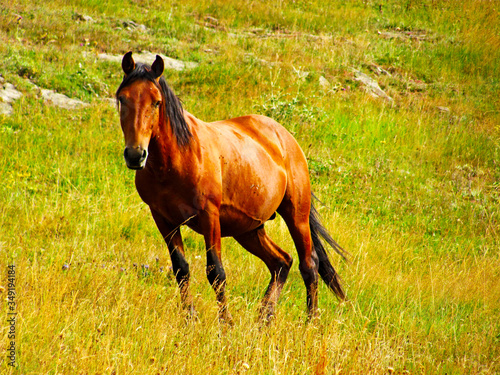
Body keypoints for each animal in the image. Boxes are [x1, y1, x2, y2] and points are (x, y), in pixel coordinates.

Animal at [115, 51, 346, 324]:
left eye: (156, 102)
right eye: (122, 98)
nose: (135, 155)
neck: (176, 160)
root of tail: (286, 138)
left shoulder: (209, 215)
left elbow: (216, 272)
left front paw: (225, 324)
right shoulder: (163, 218)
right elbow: (181, 269)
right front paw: (190, 319)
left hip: (296, 215)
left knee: (308, 265)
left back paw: (310, 322)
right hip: (249, 229)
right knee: (281, 262)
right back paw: (263, 318)